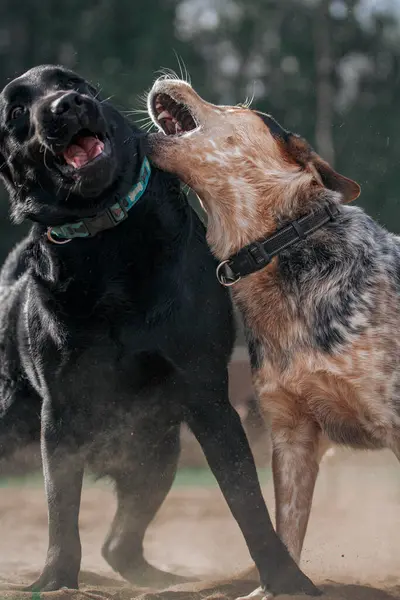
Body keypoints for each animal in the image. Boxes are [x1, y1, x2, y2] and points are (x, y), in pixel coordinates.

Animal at [0, 64, 316, 596]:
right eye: (18, 111)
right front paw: (54, 580)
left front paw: (284, 578)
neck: (107, 240)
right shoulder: (59, 415)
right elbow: (61, 512)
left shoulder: (208, 398)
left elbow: (247, 500)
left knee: (119, 546)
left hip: (157, 456)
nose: (66, 105)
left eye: (74, 84)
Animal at [145, 77, 400, 592]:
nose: (168, 78)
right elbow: (285, 533)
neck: (279, 247)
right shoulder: (291, 434)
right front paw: (273, 590)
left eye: (241, 107)